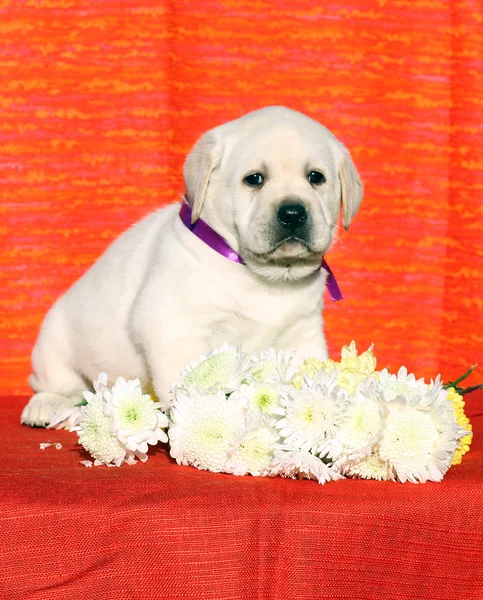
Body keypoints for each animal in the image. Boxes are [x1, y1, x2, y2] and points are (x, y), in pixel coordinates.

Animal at [21, 108, 364, 426]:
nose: (293, 213)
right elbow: (186, 384)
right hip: (53, 343)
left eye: (316, 177)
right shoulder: (173, 326)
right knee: (57, 385)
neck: (264, 276)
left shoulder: (303, 333)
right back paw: (44, 406)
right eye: (254, 179)